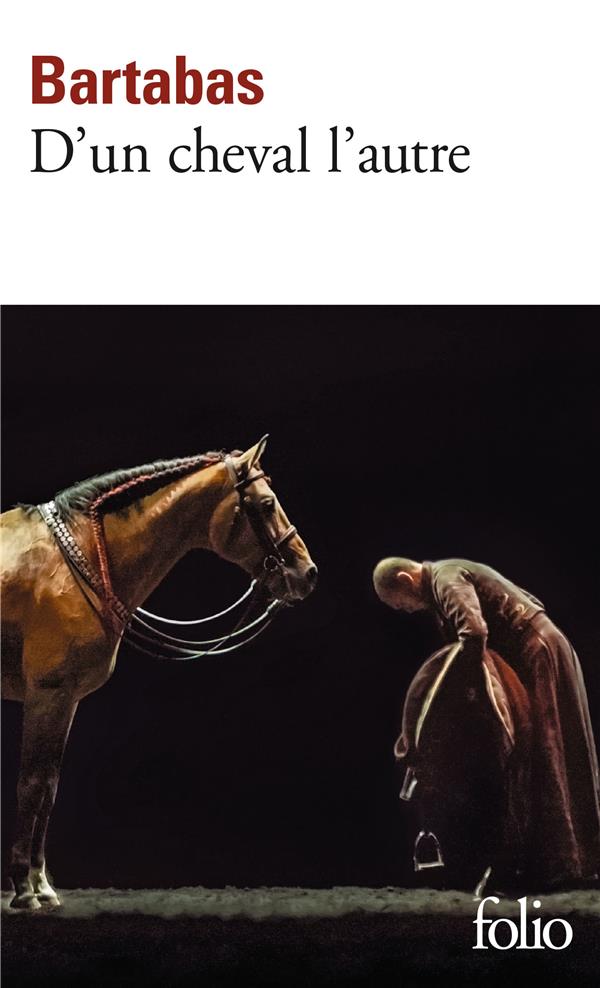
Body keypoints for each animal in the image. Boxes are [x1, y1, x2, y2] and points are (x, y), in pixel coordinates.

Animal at [1, 435, 317, 909]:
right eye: (265, 504)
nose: (307, 572)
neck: (77, 558)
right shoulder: (47, 695)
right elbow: (33, 784)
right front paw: (25, 889)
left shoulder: (66, 700)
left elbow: (49, 789)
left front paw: (41, 884)